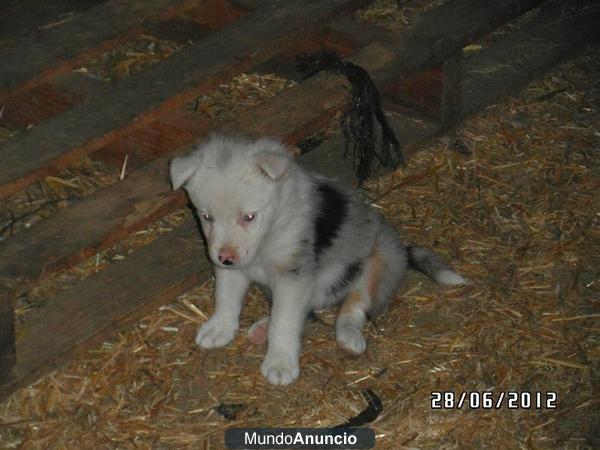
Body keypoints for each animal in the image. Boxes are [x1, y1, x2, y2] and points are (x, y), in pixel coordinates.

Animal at [171, 134, 466, 384]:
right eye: (207, 216)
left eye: (250, 217)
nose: (226, 258)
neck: (268, 238)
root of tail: (402, 250)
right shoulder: (231, 266)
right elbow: (226, 298)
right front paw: (219, 328)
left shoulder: (293, 275)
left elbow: (285, 320)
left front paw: (280, 363)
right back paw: (262, 328)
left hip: (378, 262)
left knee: (354, 307)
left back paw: (348, 337)